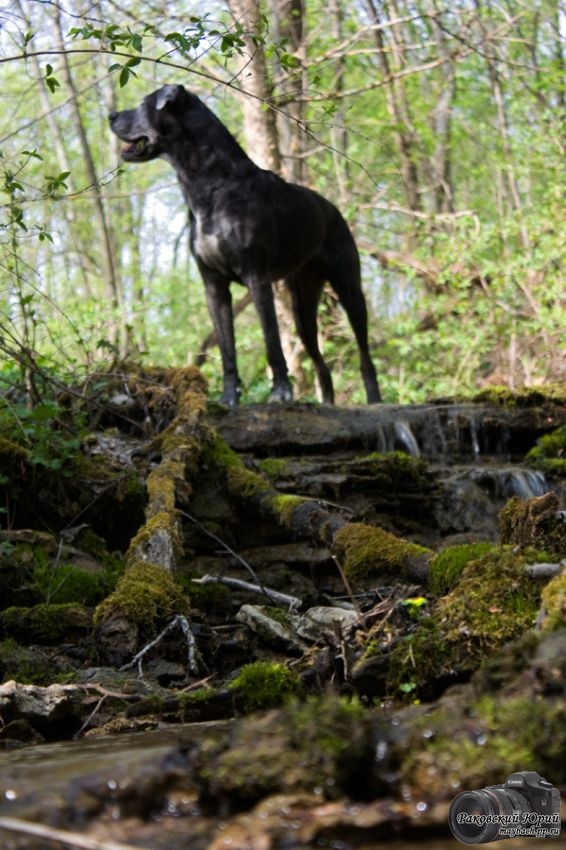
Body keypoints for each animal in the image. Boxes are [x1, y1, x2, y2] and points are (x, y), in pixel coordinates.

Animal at [107, 84, 382, 406]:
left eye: (143, 105)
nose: (110, 115)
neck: (212, 187)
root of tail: (333, 210)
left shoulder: (256, 276)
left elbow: (272, 341)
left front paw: (280, 392)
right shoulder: (213, 285)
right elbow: (227, 349)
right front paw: (228, 398)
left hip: (349, 287)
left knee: (364, 350)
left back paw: (374, 399)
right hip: (303, 303)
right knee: (319, 358)